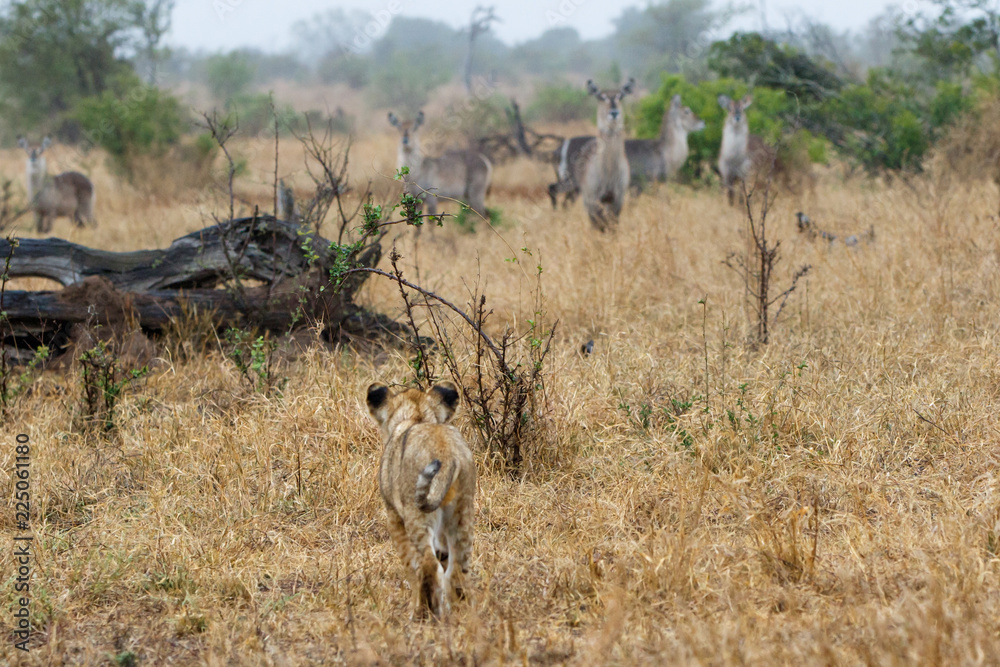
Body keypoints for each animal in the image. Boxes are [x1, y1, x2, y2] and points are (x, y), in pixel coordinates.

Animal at [365, 381, 476, 619]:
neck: (417, 417)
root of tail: (447, 454)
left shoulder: (394, 517)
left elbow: (410, 566)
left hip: (417, 513)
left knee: (428, 564)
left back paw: (423, 613)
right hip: (462, 513)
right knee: (456, 571)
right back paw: (460, 614)